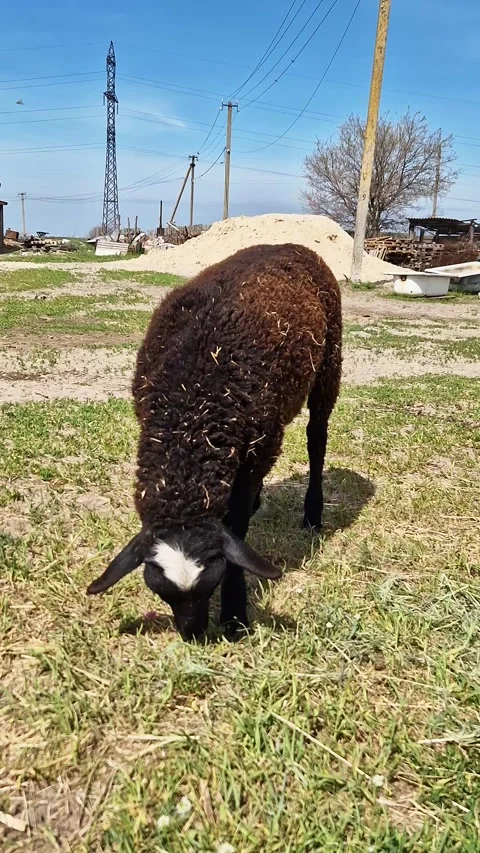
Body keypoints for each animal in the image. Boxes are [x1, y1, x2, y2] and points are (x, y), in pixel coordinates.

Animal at [87, 243, 342, 640]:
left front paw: (235, 612)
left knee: (317, 438)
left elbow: (236, 526)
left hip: (329, 361)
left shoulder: (260, 445)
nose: (192, 634)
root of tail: (291, 245)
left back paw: (312, 514)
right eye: (159, 590)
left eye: (214, 581)